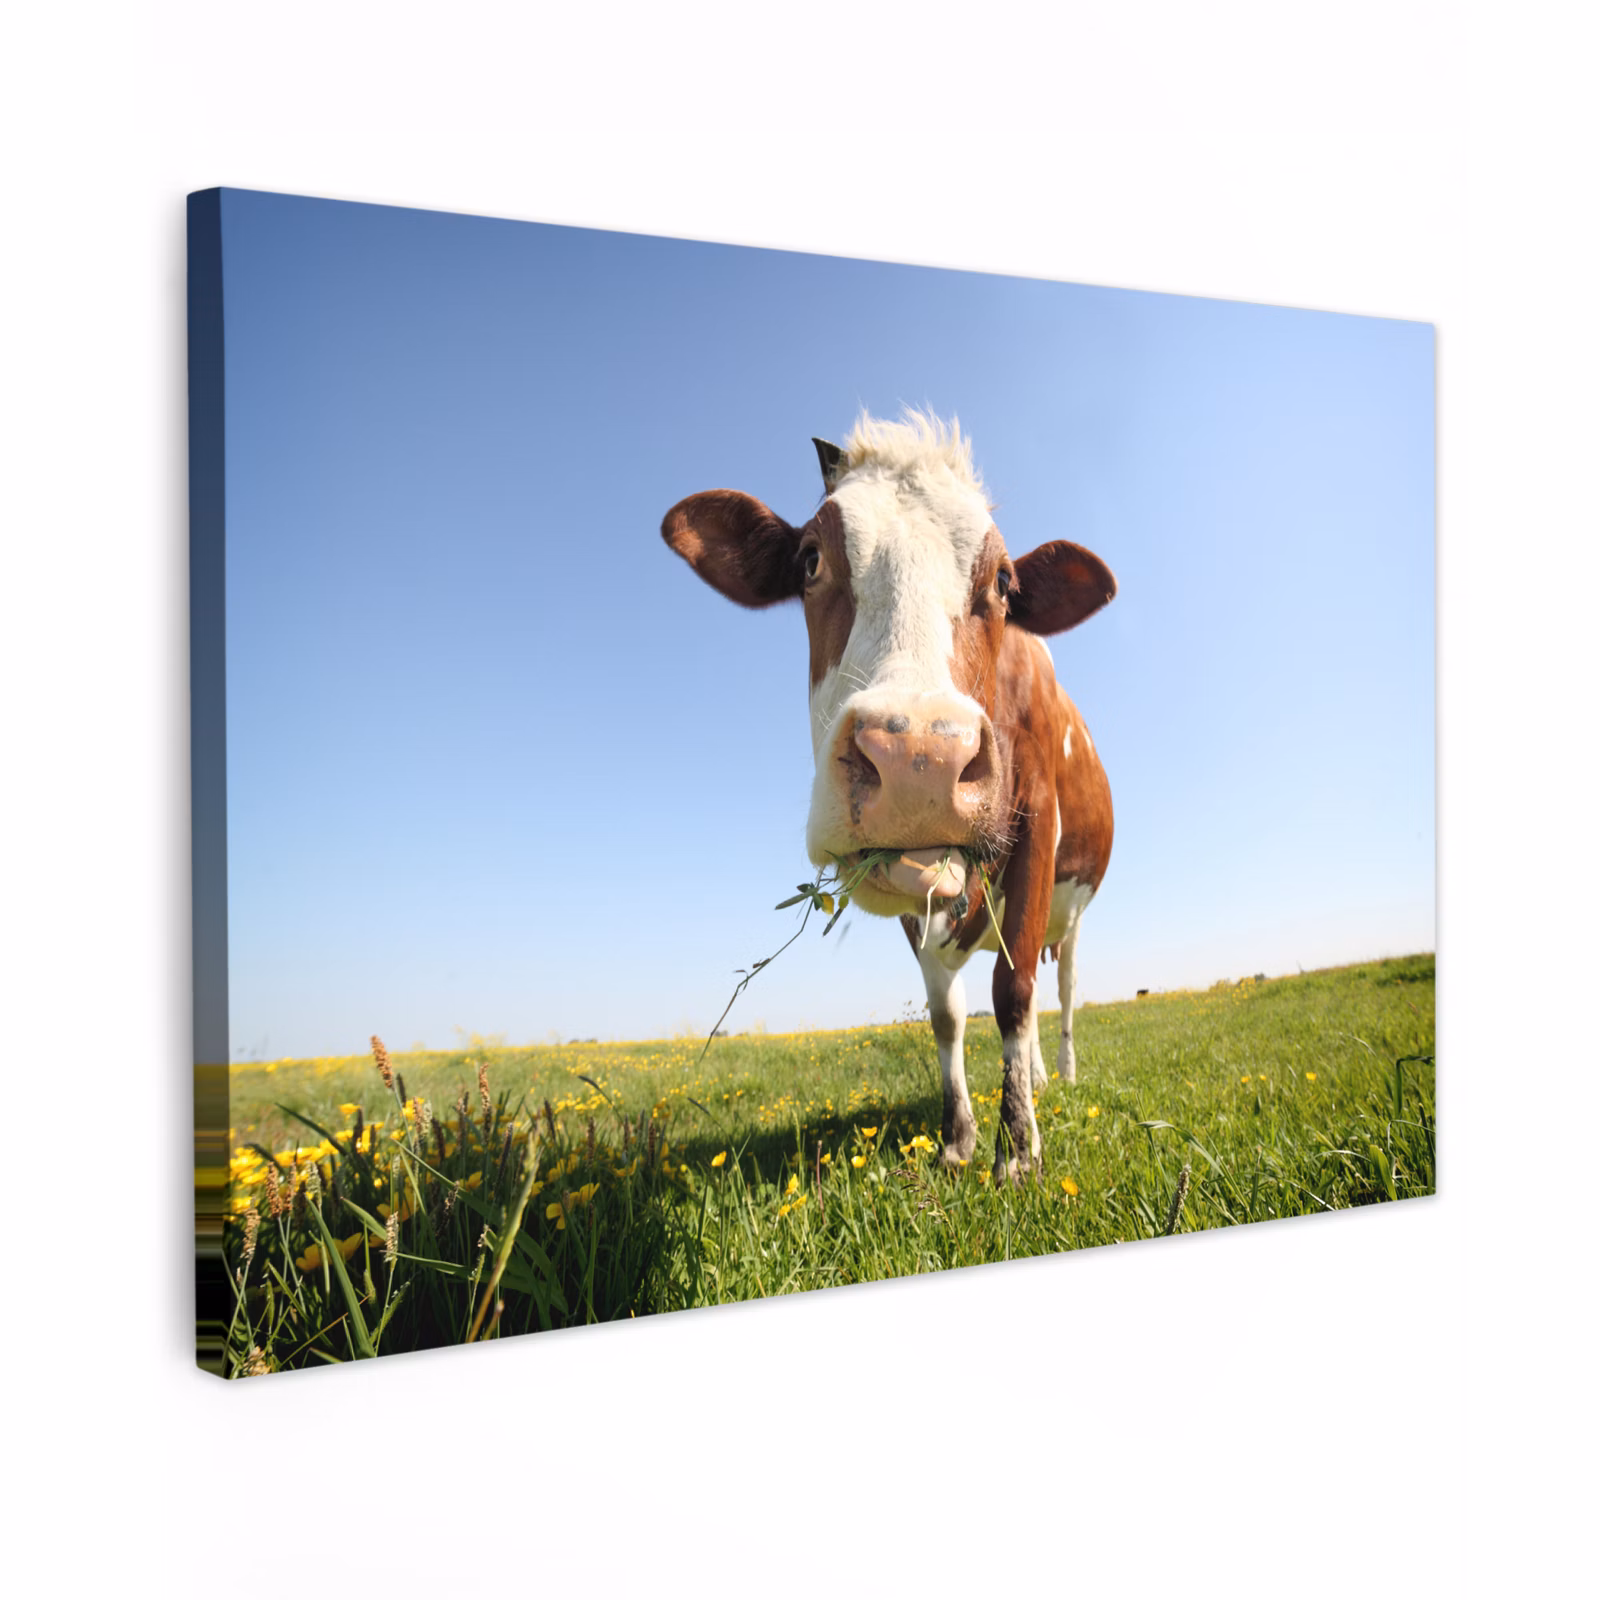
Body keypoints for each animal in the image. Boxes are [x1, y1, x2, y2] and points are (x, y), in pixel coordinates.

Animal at [661, 412, 1115, 1183]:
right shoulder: (909, 885)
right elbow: (946, 1013)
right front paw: (960, 1138)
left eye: (1003, 580)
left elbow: (1014, 992)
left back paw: (1061, 1073)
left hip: (1075, 913)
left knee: (1060, 992)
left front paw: (1019, 1150)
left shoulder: (1036, 827)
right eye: (810, 560)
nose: (918, 760)